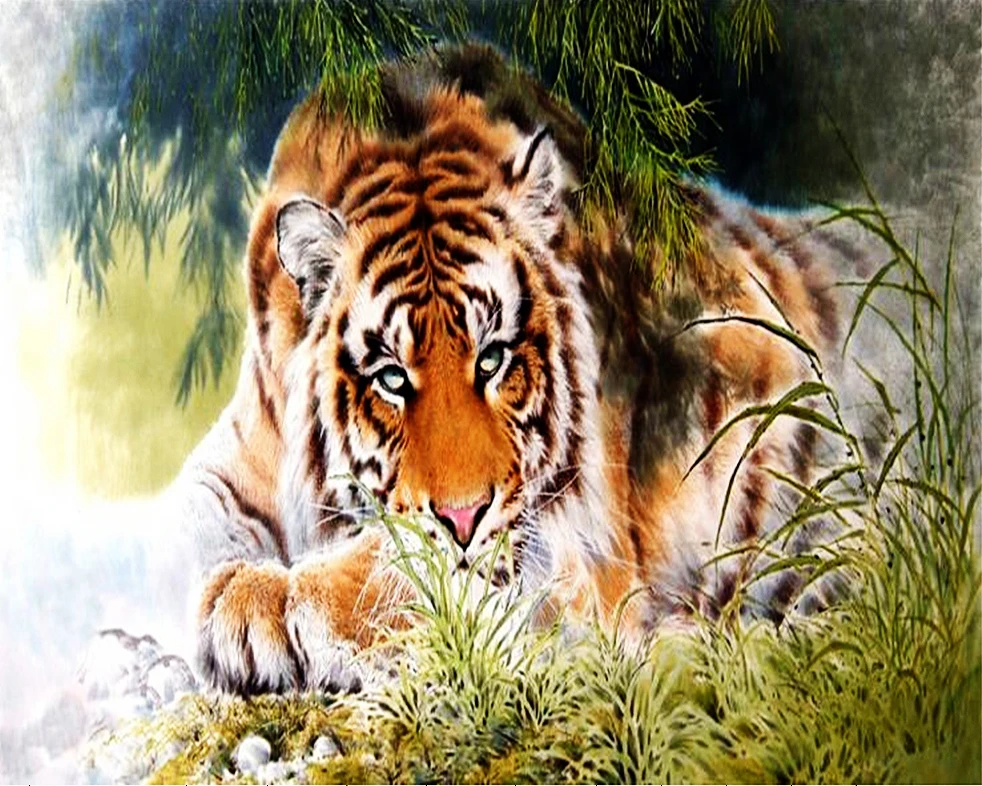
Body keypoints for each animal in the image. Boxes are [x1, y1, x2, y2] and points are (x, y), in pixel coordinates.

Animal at [175, 46, 870, 695]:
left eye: (493, 359)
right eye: (392, 377)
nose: (463, 517)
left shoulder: (572, 546)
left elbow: (407, 562)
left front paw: (265, 601)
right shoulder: (236, 456)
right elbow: (193, 529)